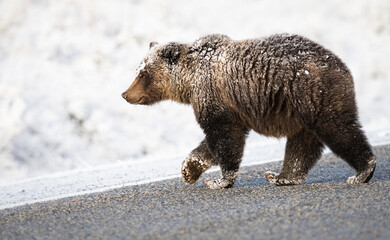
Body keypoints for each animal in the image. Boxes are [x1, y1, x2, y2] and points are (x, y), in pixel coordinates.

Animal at [121, 33, 374, 189]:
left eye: (143, 74)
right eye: (138, 70)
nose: (125, 93)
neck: (190, 82)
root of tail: (342, 66)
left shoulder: (215, 96)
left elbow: (224, 138)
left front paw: (220, 181)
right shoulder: (231, 109)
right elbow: (215, 142)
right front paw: (189, 169)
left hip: (314, 95)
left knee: (338, 129)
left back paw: (363, 171)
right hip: (301, 110)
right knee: (301, 145)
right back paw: (282, 176)